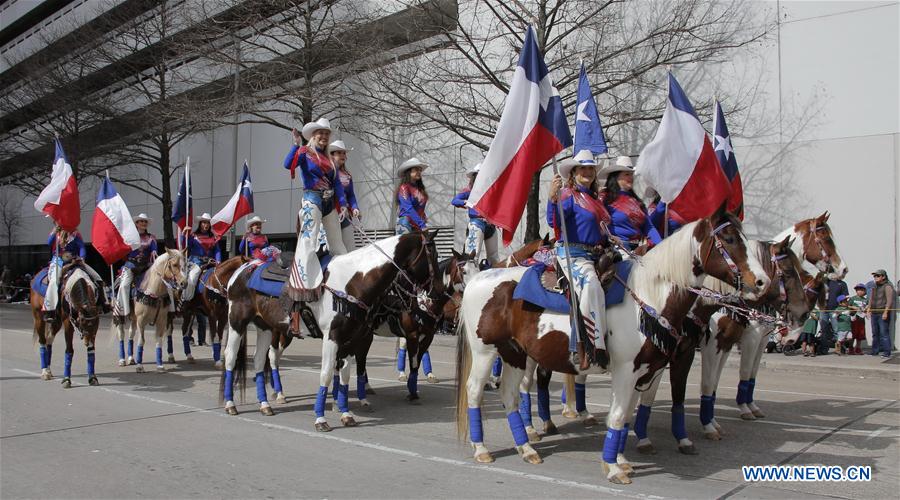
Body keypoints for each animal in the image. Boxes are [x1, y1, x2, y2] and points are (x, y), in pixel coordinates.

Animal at [450, 207, 768, 484]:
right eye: (729, 239)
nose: (762, 283)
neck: (647, 297)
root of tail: (480, 278)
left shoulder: (647, 369)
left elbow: (627, 414)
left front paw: (621, 459)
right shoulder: (627, 370)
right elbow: (617, 415)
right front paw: (614, 468)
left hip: (514, 352)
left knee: (510, 395)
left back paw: (526, 448)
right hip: (485, 352)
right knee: (475, 391)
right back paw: (482, 449)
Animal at [628, 236, 828, 456]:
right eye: (788, 272)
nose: (801, 316)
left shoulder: (726, 344)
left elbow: (715, 384)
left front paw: (712, 423)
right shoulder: (724, 343)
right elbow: (711, 382)